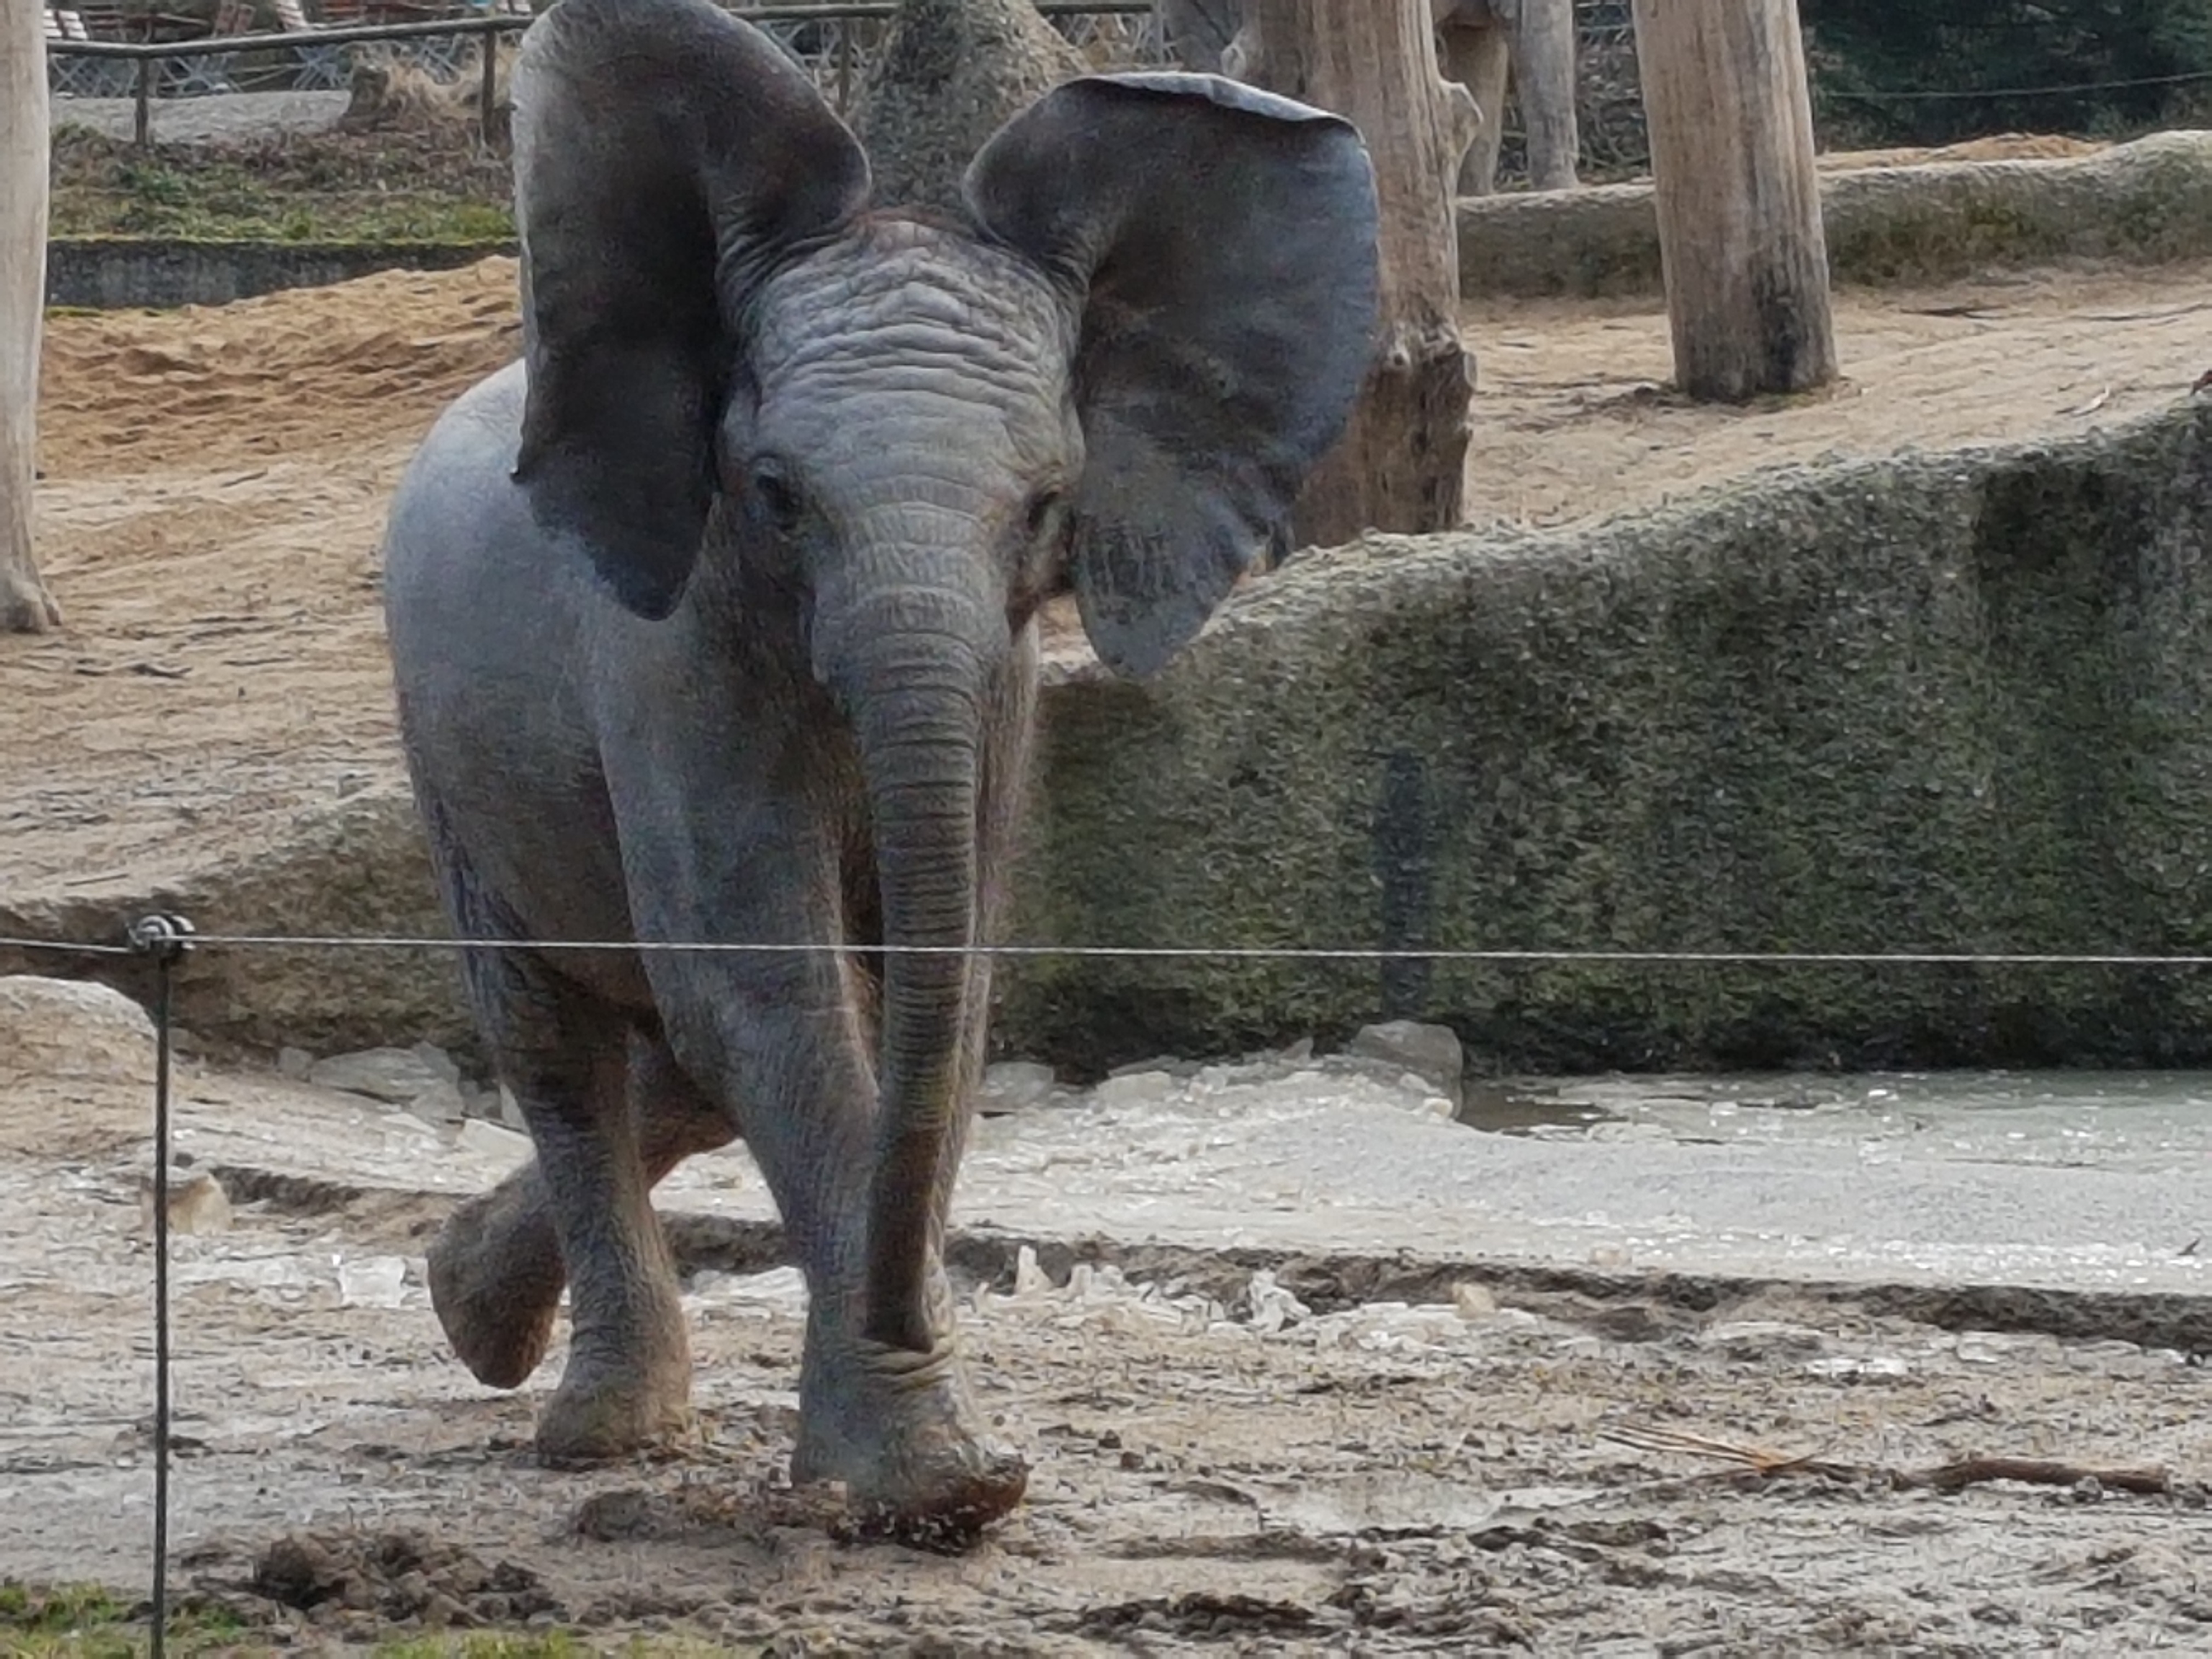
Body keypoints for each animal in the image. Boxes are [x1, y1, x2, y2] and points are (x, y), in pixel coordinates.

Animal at [380, 0, 1379, 1538]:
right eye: (778, 498)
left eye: (1047, 507)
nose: (916, 1315)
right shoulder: (671, 656)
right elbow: (773, 991)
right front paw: (937, 1487)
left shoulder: (1007, 674)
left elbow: (932, 1001)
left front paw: (898, 1470)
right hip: (444, 748)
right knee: (554, 1037)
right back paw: (598, 1428)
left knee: (673, 1061)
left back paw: (472, 1308)